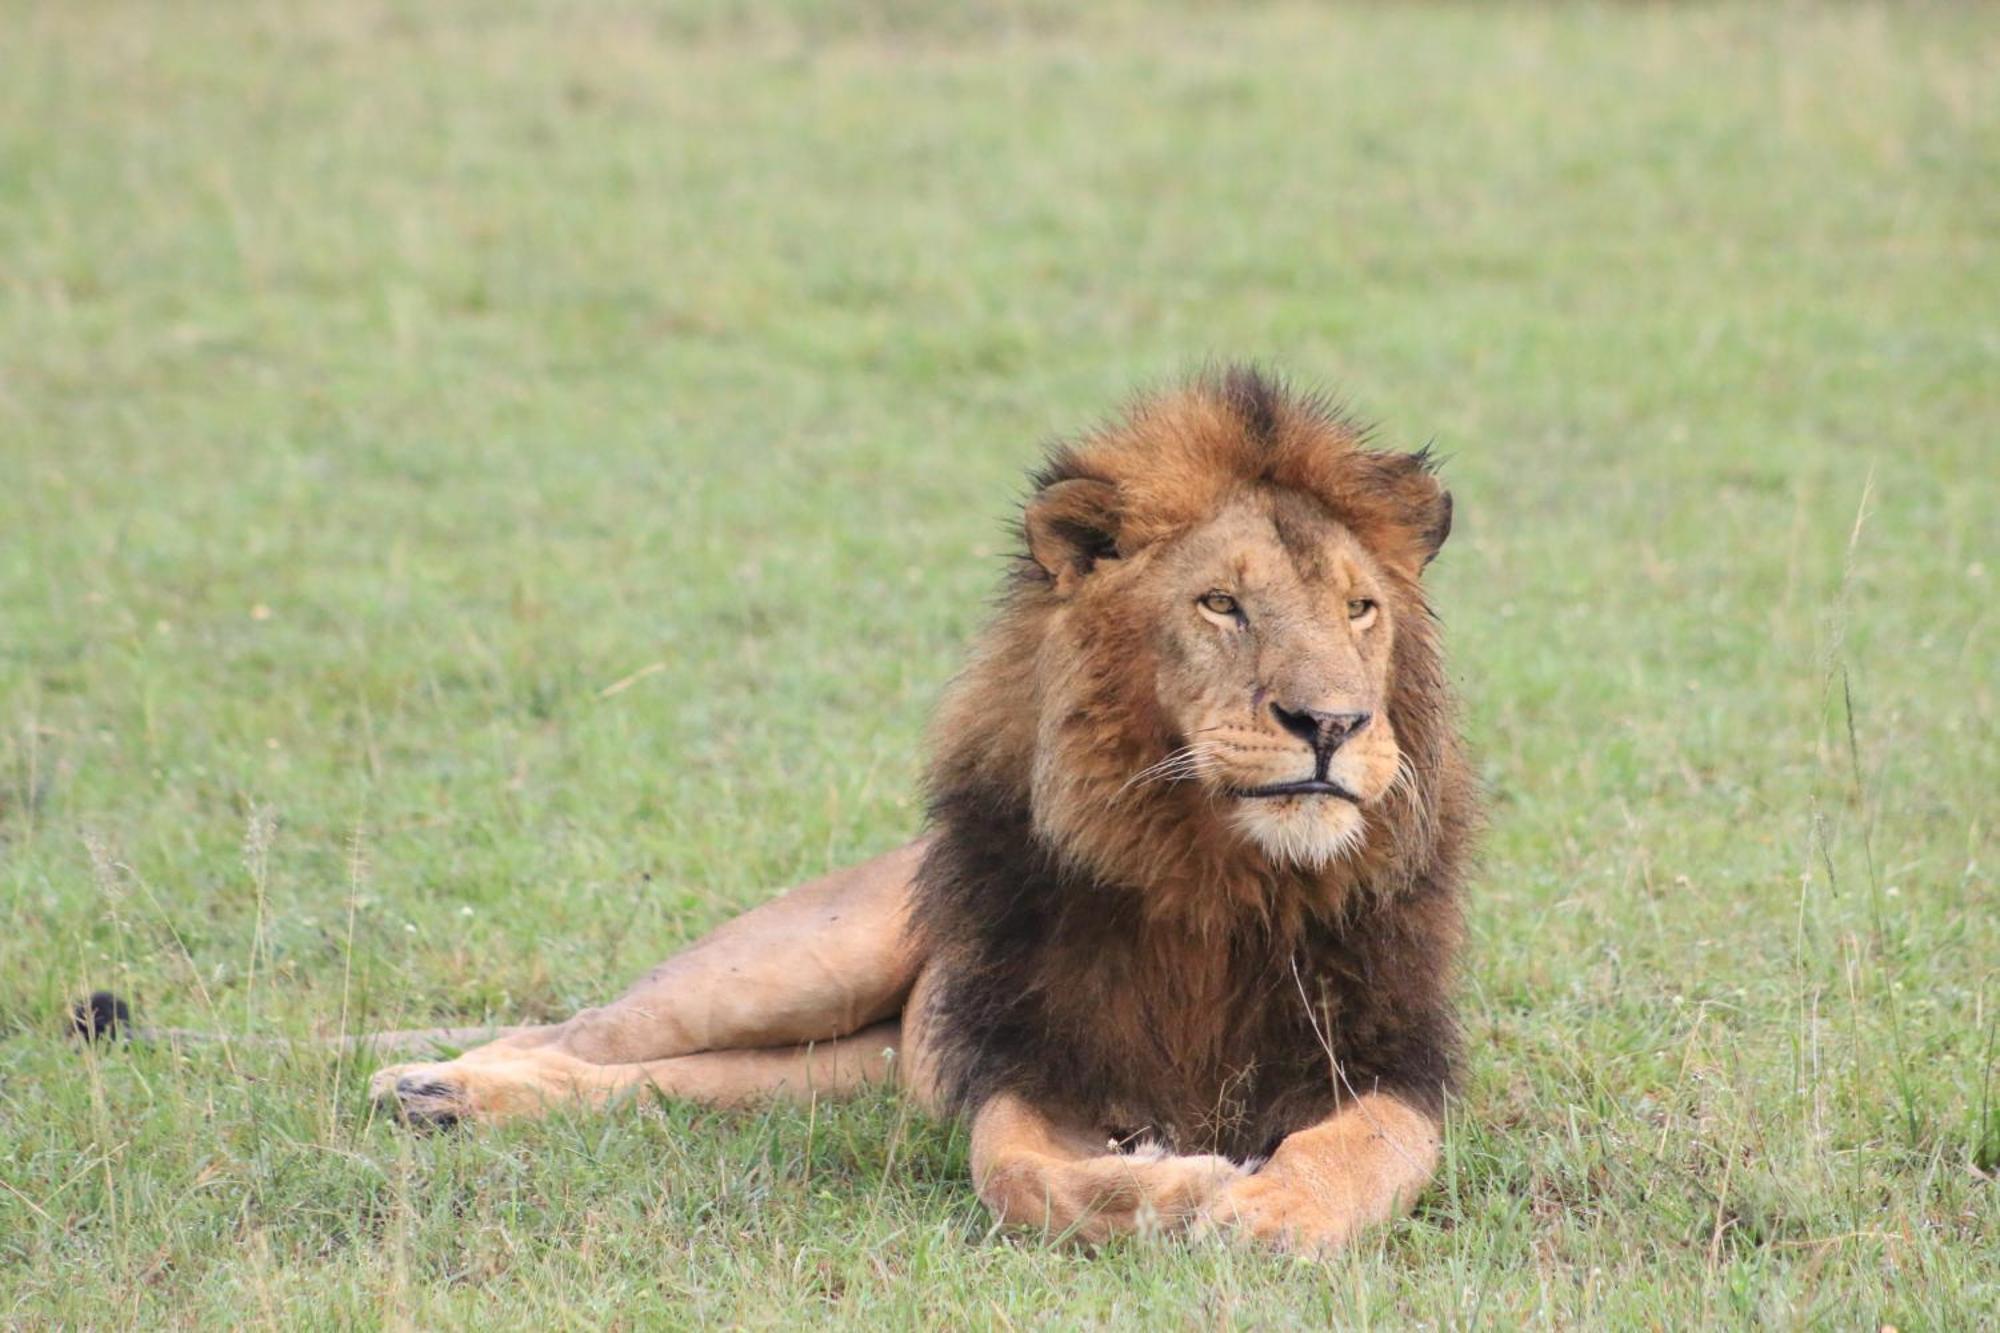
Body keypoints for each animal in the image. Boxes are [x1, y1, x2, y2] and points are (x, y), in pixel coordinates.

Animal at [368, 368, 1480, 1248]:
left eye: (1359, 608)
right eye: (1220, 604)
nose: (1331, 722)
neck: (1215, 875)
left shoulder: (1388, 1063)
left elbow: (1357, 1151)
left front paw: (1271, 1210)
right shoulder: (1034, 1069)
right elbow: (1018, 1173)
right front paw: (1175, 1185)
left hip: (840, 1071)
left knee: (663, 1079)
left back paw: (442, 1099)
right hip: (794, 963)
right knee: (584, 1032)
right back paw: (431, 1082)